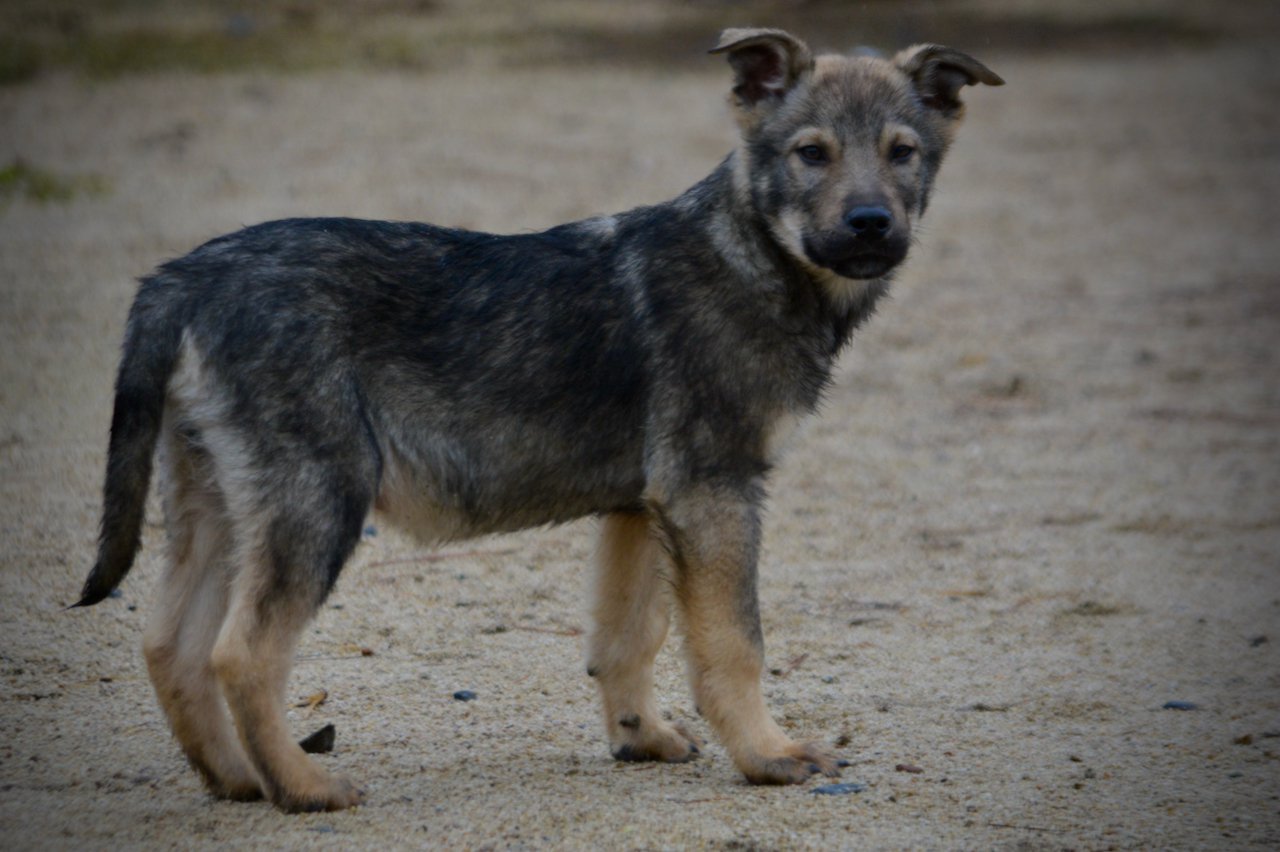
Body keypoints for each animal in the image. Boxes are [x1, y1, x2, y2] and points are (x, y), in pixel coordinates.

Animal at [74, 28, 998, 808]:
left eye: (903, 153)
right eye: (811, 154)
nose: (871, 224)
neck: (752, 256)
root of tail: (183, 277)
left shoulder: (640, 507)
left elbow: (629, 637)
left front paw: (641, 737)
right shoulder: (715, 493)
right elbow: (735, 642)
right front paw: (769, 755)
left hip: (219, 509)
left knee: (170, 644)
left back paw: (236, 779)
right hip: (315, 505)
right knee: (242, 652)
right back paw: (303, 787)